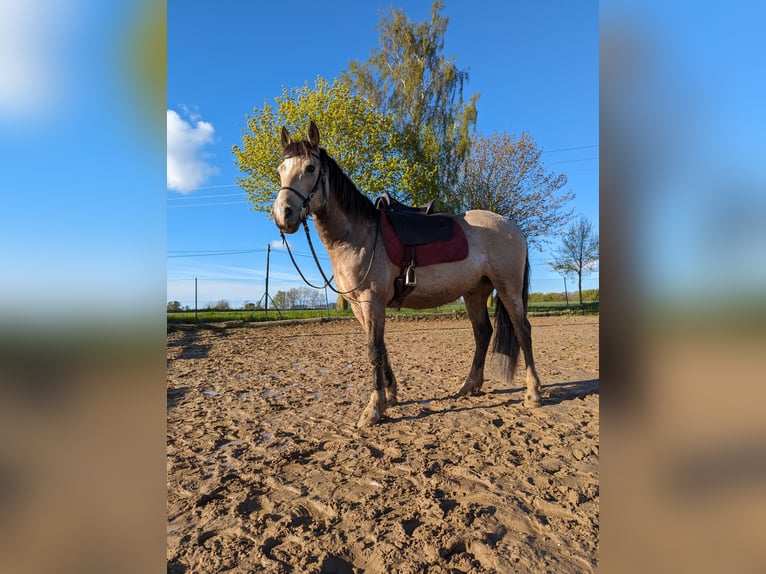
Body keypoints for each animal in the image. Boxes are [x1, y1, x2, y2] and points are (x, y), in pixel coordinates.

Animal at [272, 121, 543, 428]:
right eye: (280, 170)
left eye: (309, 168)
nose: (283, 214)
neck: (359, 236)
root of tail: (512, 227)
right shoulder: (358, 306)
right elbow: (381, 348)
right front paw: (390, 396)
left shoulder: (372, 300)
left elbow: (374, 350)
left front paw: (373, 410)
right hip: (475, 292)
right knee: (483, 333)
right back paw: (468, 387)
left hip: (508, 287)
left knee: (522, 331)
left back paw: (532, 393)